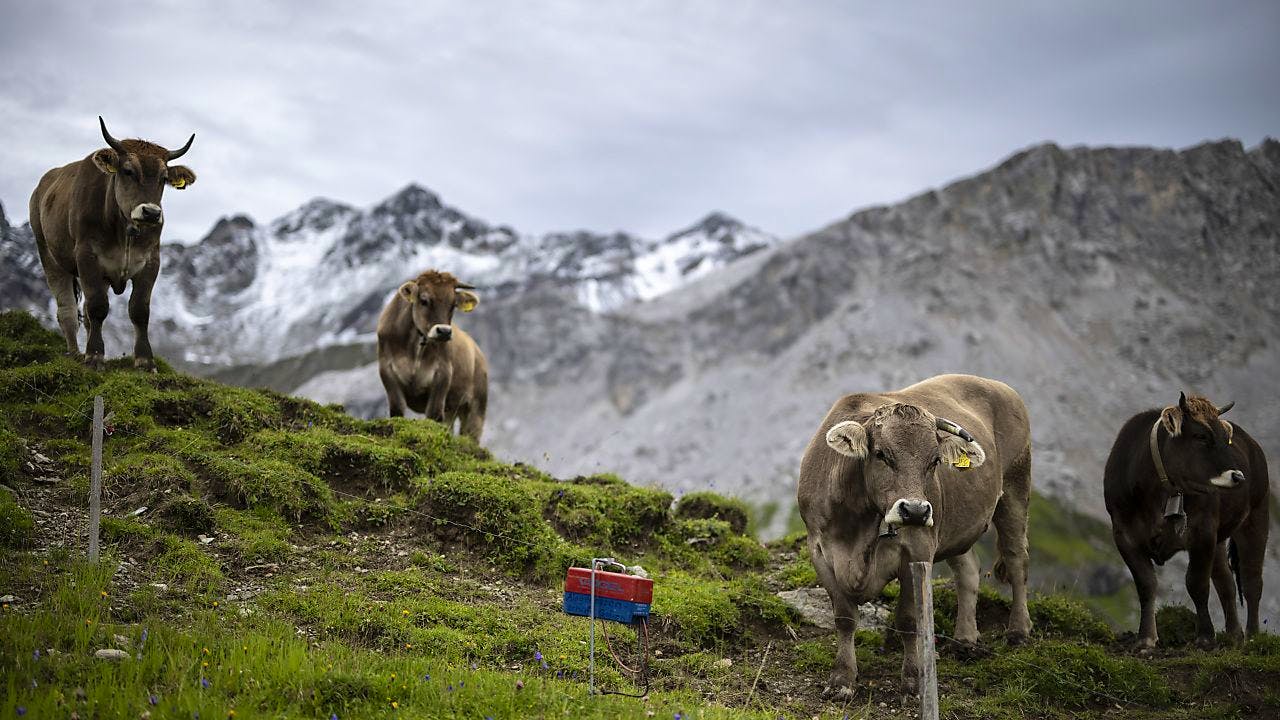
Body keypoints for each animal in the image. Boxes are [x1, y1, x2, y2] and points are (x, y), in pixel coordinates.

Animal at [28, 116, 194, 368]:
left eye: (164, 178)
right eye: (128, 171)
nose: (151, 213)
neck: (125, 231)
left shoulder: (151, 261)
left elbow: (139, 310)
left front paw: (145, 361)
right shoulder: (87, 256)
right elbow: (98, 307)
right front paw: (95, 357)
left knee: (85, 315)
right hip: (49, 255)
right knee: (67, 310)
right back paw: (76, 354)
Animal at [376, 267, 486, 440]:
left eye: (453, 304)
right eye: (424, 300)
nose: (444, 332)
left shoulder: (443, 374)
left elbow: (434, 415)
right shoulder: (386, 370)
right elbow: (397, 410)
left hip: (476, 408)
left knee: (469, 435)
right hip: (452, 410)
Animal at [798, 371, 1029, 691]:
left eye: (935, 461)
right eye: (881, 454)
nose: (916, 511)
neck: (857, 526)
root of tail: (996, 385)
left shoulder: (917, 549)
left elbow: (908, 620)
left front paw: (912, 678)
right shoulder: (819, 549)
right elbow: (844, 617)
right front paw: (842, 678)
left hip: (1016, 488)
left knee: (1016, 559)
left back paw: (1018, 631)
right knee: (968, 571)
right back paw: (965, 639)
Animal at [1100, 392, 1269, 650]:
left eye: (1226, 439)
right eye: (1201, 436)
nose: (1238, 476)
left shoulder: (1202, 532)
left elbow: (1196, 583)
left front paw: (1205, 636)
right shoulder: (1124, 535)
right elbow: (1146, 584)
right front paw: (1146, 639)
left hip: (1257, 517)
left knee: (1252, 582)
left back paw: (1252, 636)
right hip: (1220, 539)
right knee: (1226, 582)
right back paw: (1233, 635)